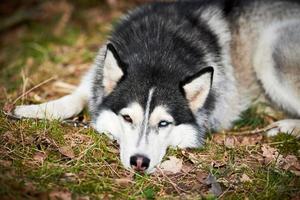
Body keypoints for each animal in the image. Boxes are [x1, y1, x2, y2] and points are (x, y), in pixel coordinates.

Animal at [11, 0, 300, 173]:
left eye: (163, 123)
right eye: (127, 118)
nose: (139, 162)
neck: (157, 53)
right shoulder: (96, 76)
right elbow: (75, 97)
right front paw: (33, 110)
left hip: (268, 50)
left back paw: (286, 125)